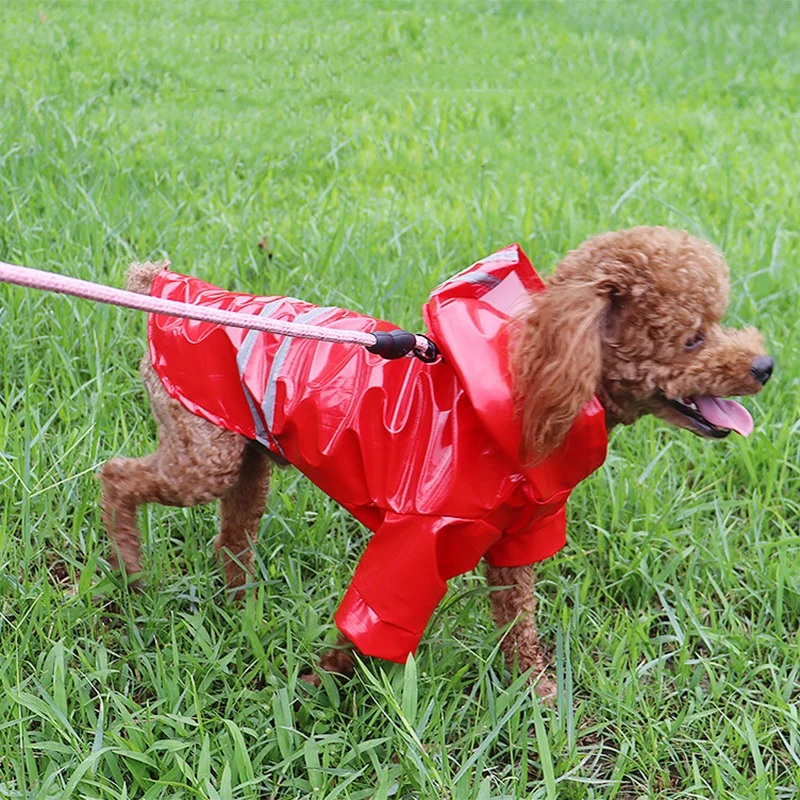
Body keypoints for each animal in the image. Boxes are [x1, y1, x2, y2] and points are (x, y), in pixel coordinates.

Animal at [98, 225, 768, 692]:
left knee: (232, 537)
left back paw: (242, 609)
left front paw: (539, 701)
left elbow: (519, 623)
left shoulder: (519, 537)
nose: (765, 365)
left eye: (718, 322)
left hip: (248, 457)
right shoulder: (413, 539)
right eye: (693, 338)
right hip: (203, 451)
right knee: (116, 475)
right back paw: (129, 569)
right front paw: (320, 688)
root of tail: (166, 284)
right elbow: (371, 621)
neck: (526, 384)